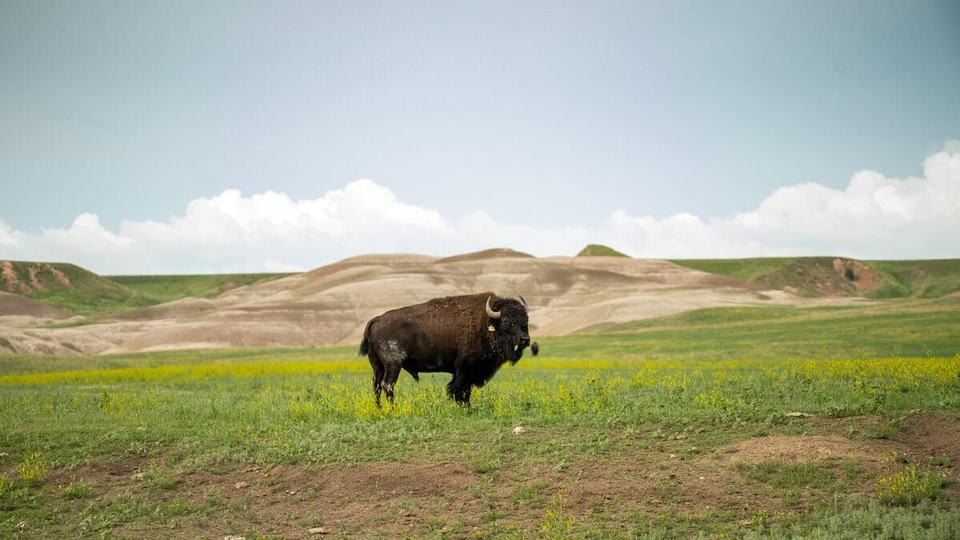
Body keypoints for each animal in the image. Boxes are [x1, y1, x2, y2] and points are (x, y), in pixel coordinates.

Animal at [359, 293, 534, 406]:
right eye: (506, 320)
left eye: (525, 319)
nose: (525, 339)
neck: (485, 323)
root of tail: (376, 319)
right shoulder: (465, 369)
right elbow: (461, 389)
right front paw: (465, 408)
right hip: (393, 365)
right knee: (387, 385)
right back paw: (394, 408)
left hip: (377, 366)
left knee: (377, 385)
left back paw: (380, 408)